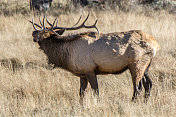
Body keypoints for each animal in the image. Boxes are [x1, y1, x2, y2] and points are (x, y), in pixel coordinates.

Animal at [29, 14, 160, 102]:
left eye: (42, 32)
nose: (32, 33)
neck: (66, 54)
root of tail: (155, 45)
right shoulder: (82, 74)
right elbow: (81, 93)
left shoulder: (90, 70)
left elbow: (96, 91)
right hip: (146, 66)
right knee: (149, 85)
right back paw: (145, 103)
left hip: (136, 64)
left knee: (138, 88)